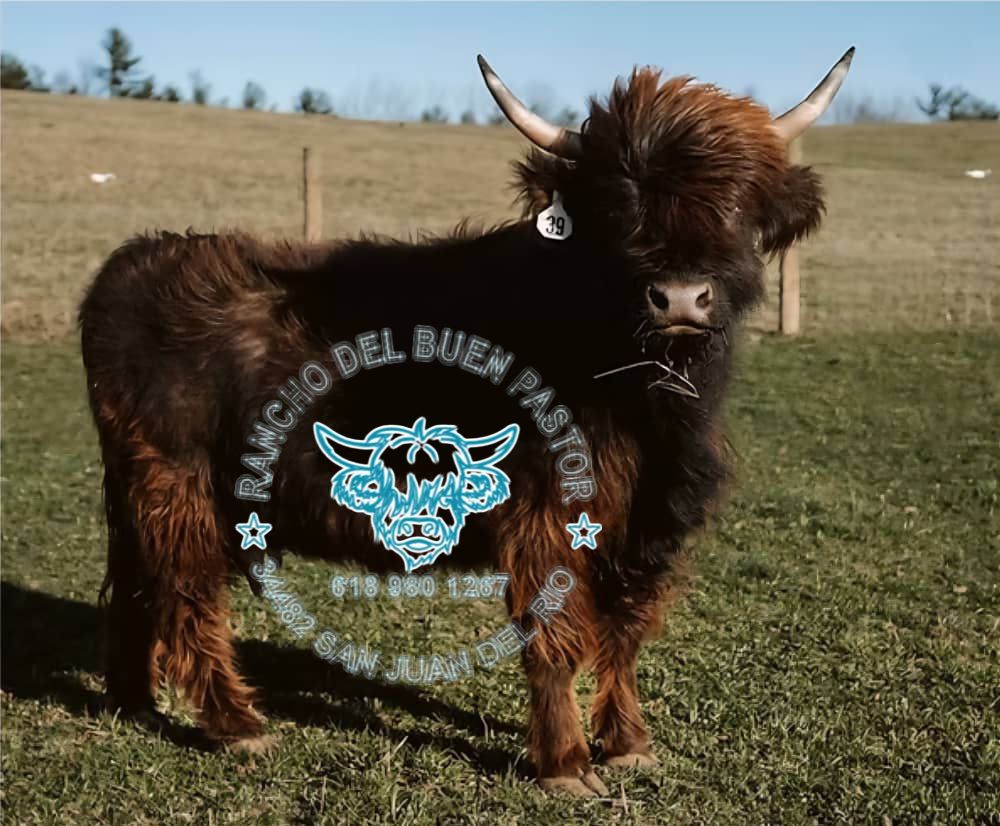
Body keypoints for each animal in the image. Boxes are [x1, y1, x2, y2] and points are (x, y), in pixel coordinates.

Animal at [80, 49, 853, 797]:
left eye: (739, 204)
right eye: (618, 207)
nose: (682, 297)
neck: (646, 403)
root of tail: (135, 257)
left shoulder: (652, 523)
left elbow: (624, 629)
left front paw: (629, 744)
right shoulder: (547, 515)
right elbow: (558, 634)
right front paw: (566, 764)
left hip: (144, 492)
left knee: (139, 586)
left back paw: (134, 699)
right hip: (176, 484)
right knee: (186, 595)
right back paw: (236, 724)